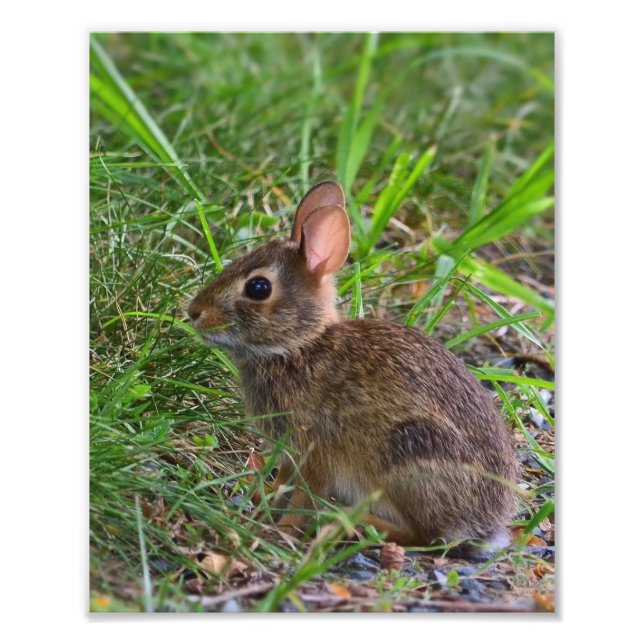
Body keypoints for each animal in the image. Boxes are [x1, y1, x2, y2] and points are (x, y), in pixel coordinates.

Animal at [188, 181, 518, 549]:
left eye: (258, 287)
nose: (193, 312)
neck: (299, 346)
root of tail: (488, 519)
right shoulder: (289, 453)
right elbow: (283, 484)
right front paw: (260, 501)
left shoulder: (314, 450)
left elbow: (304, 494)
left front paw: (281, 529)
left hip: (409, 454)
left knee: (424, 535)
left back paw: (347, 522)